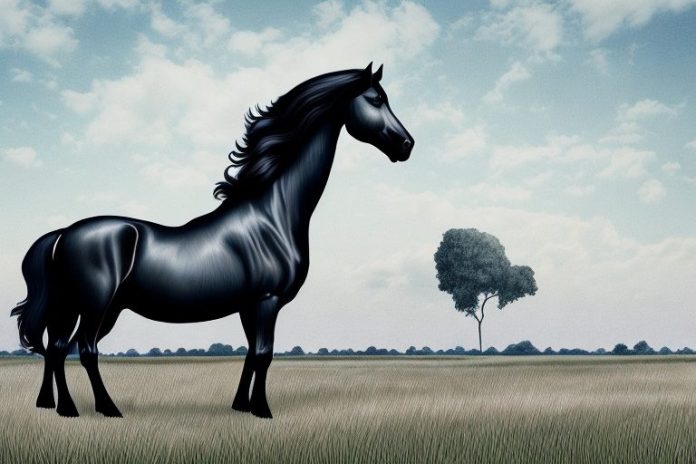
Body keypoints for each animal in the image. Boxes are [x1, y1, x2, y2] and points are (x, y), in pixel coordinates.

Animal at [11, 63, 413, 419]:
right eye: (376, 99)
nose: (407, 145)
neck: (273, 215)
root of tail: (64, 233)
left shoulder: (249, 306)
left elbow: (251, 353)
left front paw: (242, 406)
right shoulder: (267, 301)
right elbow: (264, 353)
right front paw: (263, 410)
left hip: (77, 307)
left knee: (56, 349)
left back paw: (55, 406)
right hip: (95, 305)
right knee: (85, 349)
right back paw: (103, 409)